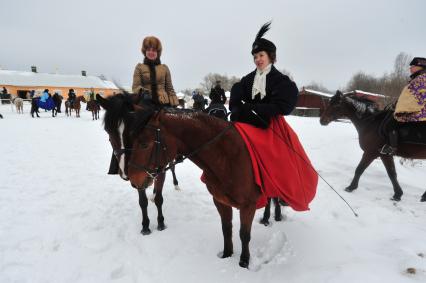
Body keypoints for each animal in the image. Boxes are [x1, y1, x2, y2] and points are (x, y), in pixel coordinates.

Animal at [97, 93, 262, 268]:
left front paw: (160, 223)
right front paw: (146, 226)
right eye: (108, 131)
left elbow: (159, 198)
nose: (127, 174)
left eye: (143, 143)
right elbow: (143, 202)